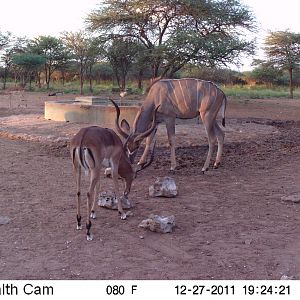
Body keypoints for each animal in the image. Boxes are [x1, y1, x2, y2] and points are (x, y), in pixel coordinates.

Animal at [70, 99, 158, 240]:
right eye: (134, 176)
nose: (127, 192)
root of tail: (82, 139)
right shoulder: (114, 163)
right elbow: (115, 186)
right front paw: (122, 213)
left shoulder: (99, 168)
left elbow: (98, 187)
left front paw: (93, 212)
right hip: (91, 169)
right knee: (88, 193)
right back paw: (88, 231)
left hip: (78, 168)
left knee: (78, 191)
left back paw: (79, 222)